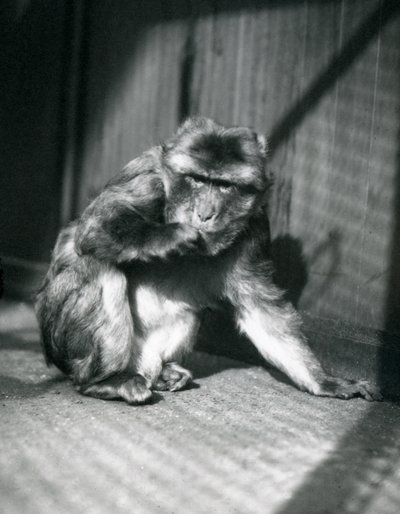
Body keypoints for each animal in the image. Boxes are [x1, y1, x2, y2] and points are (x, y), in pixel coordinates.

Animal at [35, 117, 382, 404]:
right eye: (198, 180)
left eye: (224, 185)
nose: (205, 213)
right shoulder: (146, 177)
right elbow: (93, 228)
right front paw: (171, 237)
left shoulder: (255, 226)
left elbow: (260, 308)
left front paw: (325, 381)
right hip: (64, 346)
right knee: (99, 266)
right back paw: (102, 381)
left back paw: (163, 374)